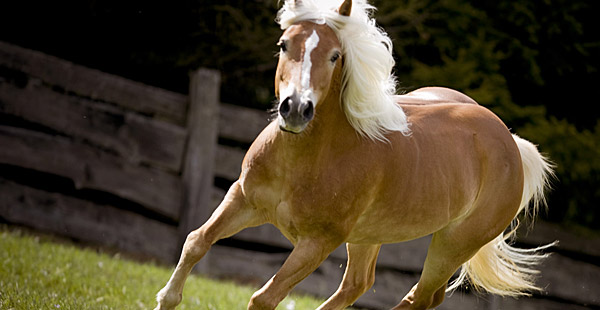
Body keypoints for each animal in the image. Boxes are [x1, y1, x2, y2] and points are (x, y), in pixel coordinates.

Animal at [157, 1, 556, 308]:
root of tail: (510, 143)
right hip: (369, 236)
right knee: (358, 285)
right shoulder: (243, 198)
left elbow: (264, 297)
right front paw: (166, 299)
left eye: (335, 55)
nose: (296, 109)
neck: (302, 160)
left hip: (452, 244)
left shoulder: (318, 242)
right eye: (284, 44)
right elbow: (196, 241)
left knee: (418, 298)